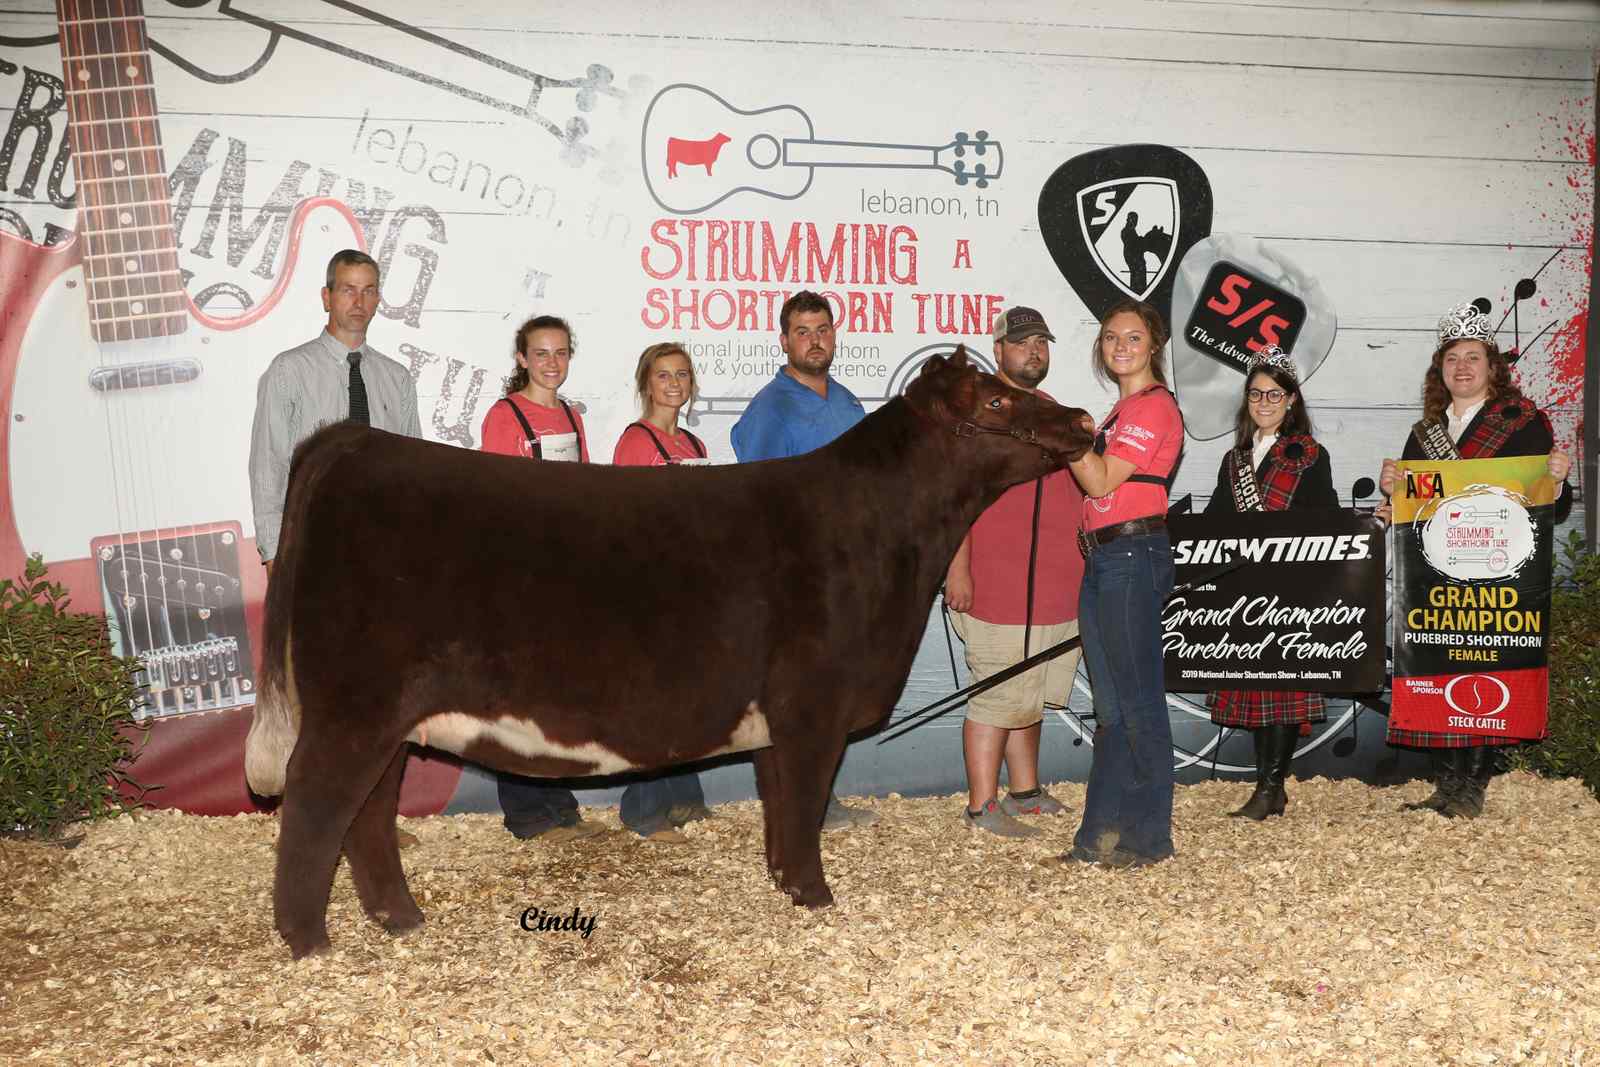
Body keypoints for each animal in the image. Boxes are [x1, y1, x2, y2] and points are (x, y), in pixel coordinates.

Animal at [244, 348, 1094, 958]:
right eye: (995, 401)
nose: (1086, 417)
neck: (882, 532)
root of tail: (352, 442)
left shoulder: (776, 719)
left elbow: (780, 803)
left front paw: (784, 884)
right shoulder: (813, 703)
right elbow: (806, 804)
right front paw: (816, 896)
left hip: (389, 718)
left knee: (369, 812)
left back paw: (399, 917)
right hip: (352, 708)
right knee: (317, 804)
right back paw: (308, 940)